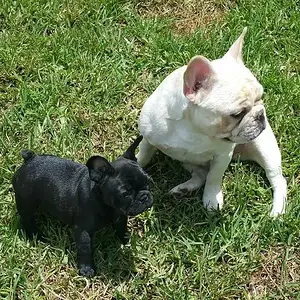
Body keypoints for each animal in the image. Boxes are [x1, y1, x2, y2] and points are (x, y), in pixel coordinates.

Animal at [11, 136, 152, 276]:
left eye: (148, 182)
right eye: (126, 193)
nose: (144, 196)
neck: (104, 202)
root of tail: (30, 159)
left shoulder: (120, 217)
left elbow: (122, 229)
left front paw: (126, 241)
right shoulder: (83, 230)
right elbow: (85, 248)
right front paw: (86, 269)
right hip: (26, 203)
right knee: (27, 219)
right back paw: (35, 235)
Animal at [137, 27, 288, 216]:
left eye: (261, 97)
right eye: (237, 114)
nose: (261, 115)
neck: (194, 130)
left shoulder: (223, 156)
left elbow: (214, 177)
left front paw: (212, 199)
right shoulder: (148, 139)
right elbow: (143, 156)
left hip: (266, 149)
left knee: (277, 179)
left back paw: (277, 211)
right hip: (187, 161)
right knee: (200, 174)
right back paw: (183, 189)